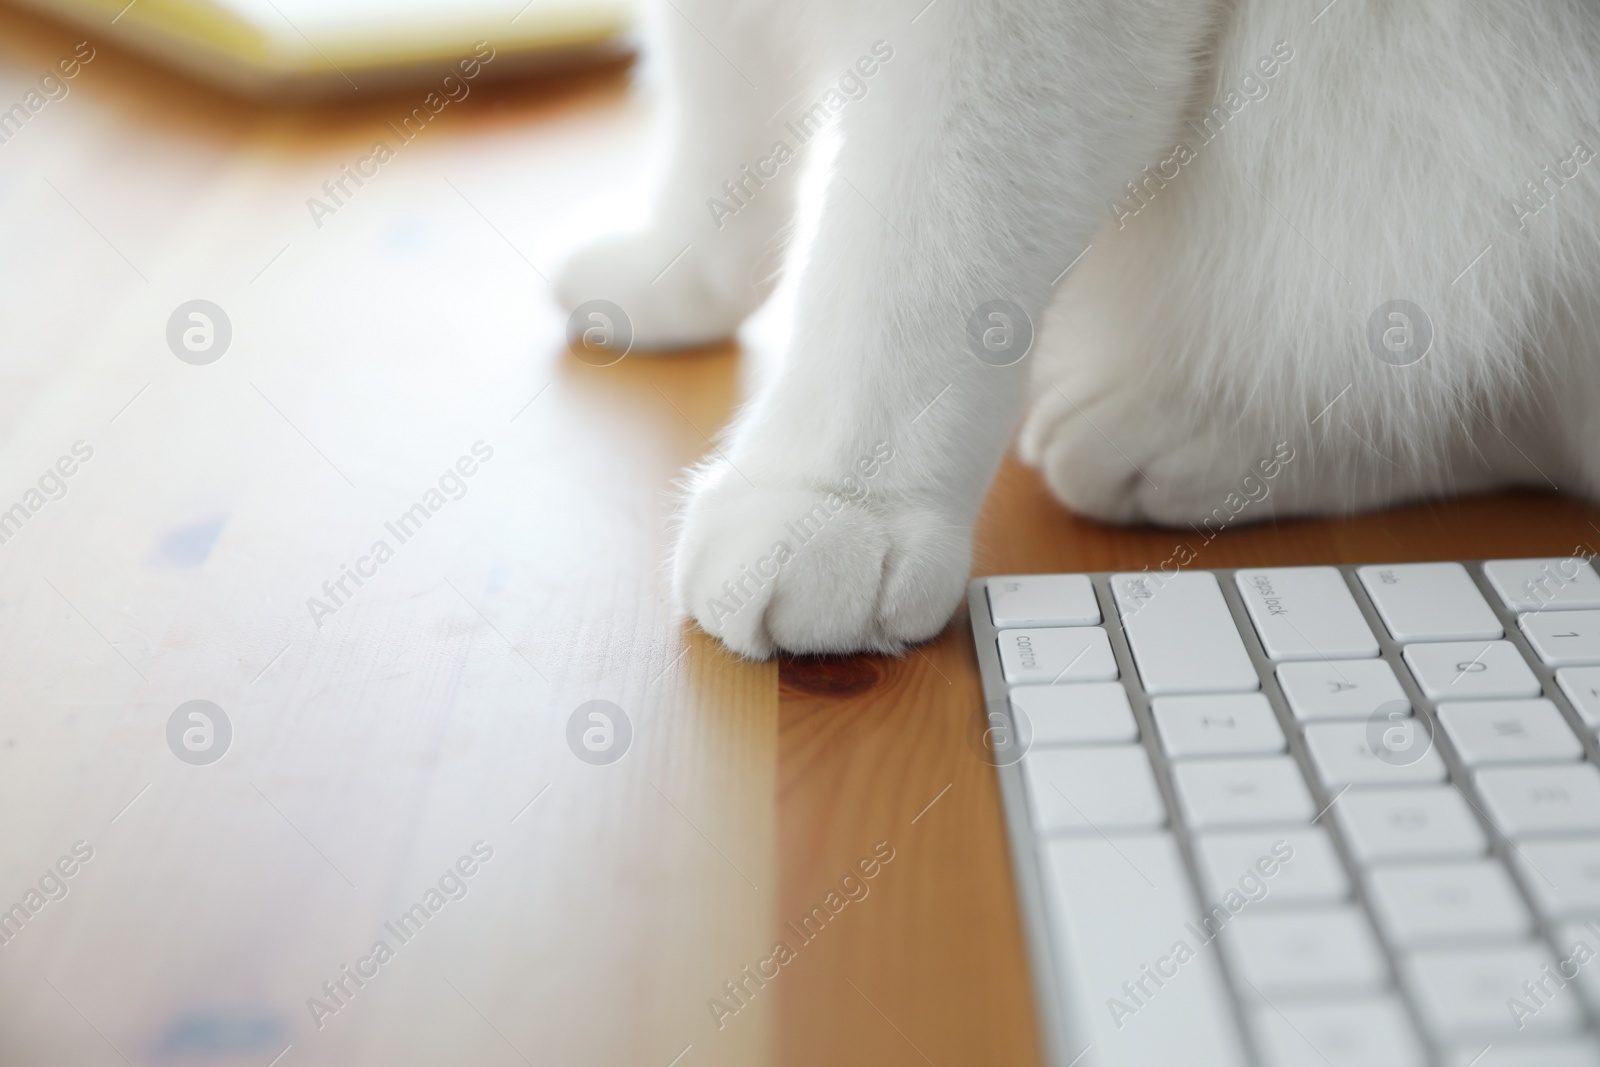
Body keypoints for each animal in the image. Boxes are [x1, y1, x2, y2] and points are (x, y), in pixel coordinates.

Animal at [556, 0, 1600, 659]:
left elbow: (915, 248)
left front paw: (830, 500)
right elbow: (715, 122)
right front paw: (674, 275)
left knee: (1508, 405)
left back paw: (1208, 436)